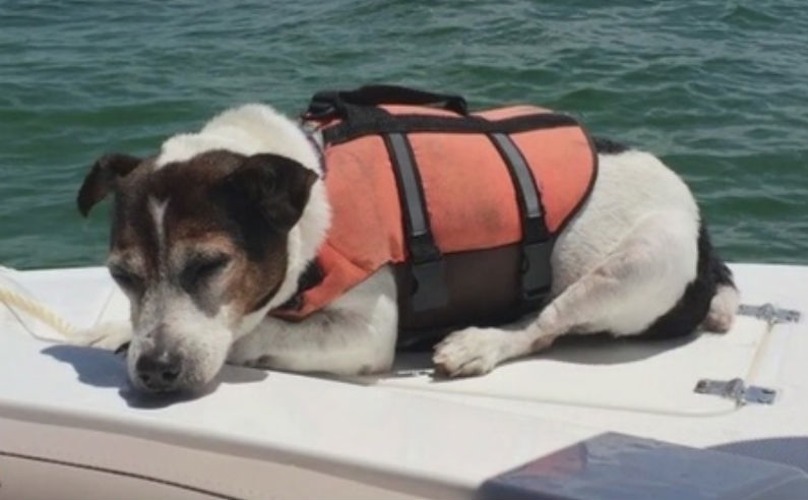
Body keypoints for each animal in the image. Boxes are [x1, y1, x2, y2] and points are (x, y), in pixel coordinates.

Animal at [76, 101, 740, 392]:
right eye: (121, 276)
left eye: (212, 264)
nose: (154, 371)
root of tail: (708, 245)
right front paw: (114, 332)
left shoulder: (365, 333)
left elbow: (253, 332)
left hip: (640, 262)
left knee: (546, 324)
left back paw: (479, 343)